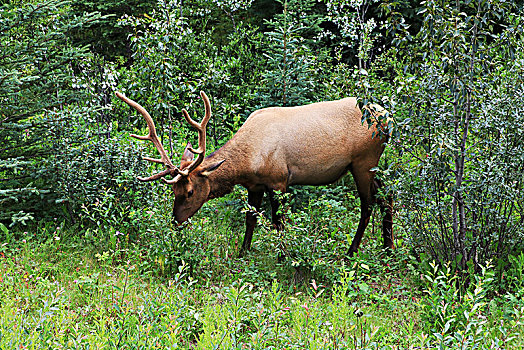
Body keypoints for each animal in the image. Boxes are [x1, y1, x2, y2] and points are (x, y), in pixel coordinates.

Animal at [115, 91, 392, 258]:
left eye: (190, 191)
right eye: (174, 190)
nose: (176, 221)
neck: (248, 163)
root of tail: (389, 117)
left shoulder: (279, 180)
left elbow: (278, 222)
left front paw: (283, 255)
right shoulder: (255, 185)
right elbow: (250, 219)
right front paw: (243, 252)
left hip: (363, 161)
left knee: (368, 204)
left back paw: (352, 251)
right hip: (372, 165)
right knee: (387, 197)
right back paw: (388, 247)